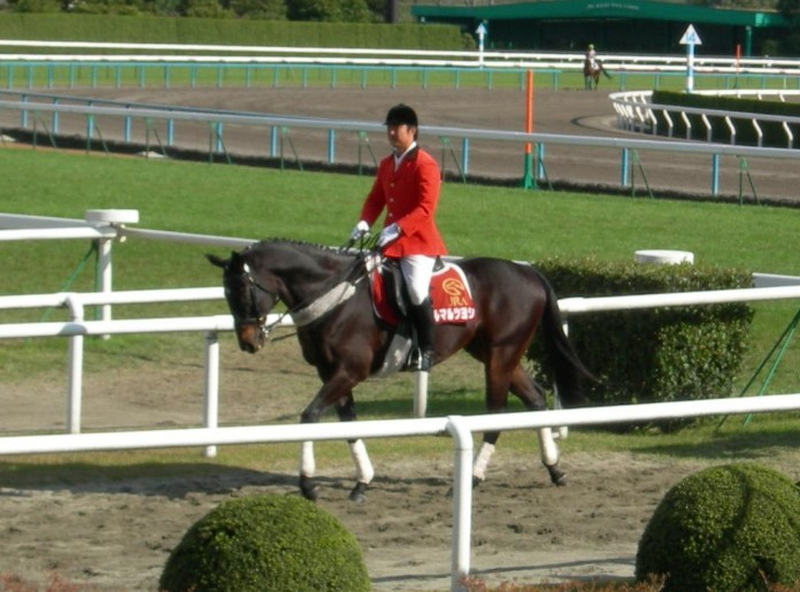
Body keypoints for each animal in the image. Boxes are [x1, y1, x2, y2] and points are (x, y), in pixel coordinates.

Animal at [207, 239, 593, 503]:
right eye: (226, 293)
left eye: (243, 291)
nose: (249, 342)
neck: (336, 297)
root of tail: (527, 272)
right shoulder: (331, 373)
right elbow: (348, 425)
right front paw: (362, 482)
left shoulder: (349, 371)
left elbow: (310, 416)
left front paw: (308, 484)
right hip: (495, 354)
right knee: (535, 399)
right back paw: (554, 469)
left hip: (501, 355)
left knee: (496, 414)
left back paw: (474, 476)